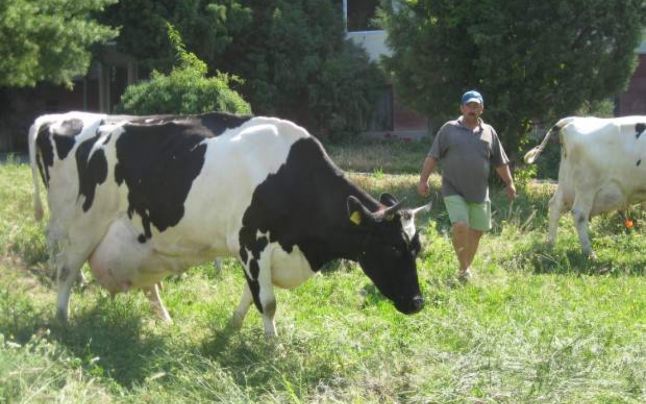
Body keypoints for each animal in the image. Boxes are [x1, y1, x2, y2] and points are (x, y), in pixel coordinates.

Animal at [30, 111, 428, 338]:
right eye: (392, 247)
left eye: (417, 248)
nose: (418, 302)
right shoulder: (252, 241)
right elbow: (267, 301)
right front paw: (273, 348)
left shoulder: (262, 251)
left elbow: (251, 297)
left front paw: (233, 327)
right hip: (81, 224)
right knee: (65, 270)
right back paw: (63, 321)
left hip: (137, 238)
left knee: (146, 284)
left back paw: (165, 319)